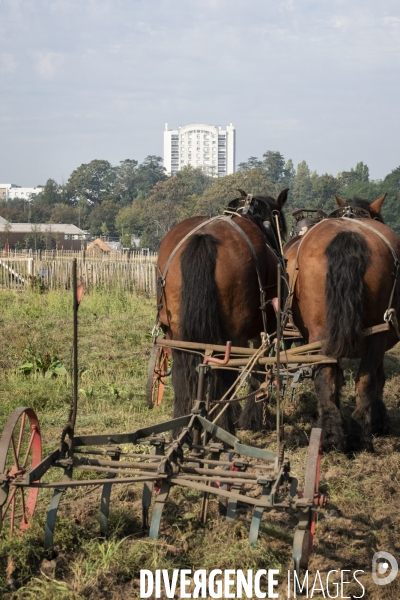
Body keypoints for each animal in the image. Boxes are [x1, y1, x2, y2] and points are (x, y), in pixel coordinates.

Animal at [155, 190, 290, 434]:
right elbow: (257, 371)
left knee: (182, 372)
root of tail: (204, 238)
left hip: (176, 334)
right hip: (235, 334)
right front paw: (254, 418)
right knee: (228, 374)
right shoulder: (265, 332)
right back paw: (223, 427)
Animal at [284, 195, 400, 452]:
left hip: (321, 334)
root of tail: (347, 235)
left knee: (326, 377)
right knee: (366, 379)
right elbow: (378, 379)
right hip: (376, 334)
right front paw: (380, 421)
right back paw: (358, 435)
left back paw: (330, 434)